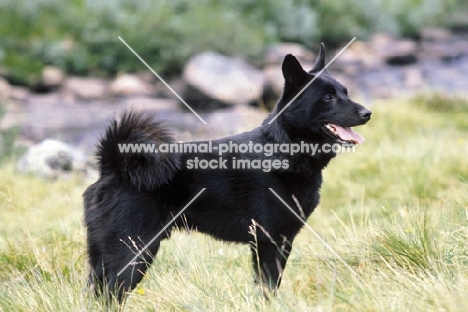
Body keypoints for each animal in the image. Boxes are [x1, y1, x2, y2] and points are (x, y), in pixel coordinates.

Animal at [82, 44, 372, 300]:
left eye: (345, 92)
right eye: (327, 97)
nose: (368, 113)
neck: (283, 150)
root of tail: (112, 167)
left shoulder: (280, 241)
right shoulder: (269, 241)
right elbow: (268, 288)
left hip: (104, 256)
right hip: (133, 252)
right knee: (111, 295)